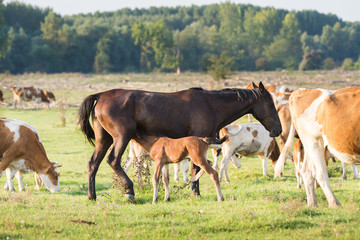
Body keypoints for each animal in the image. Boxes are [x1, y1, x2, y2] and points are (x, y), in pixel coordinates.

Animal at [78, 82, 282, 201]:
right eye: (271, 105)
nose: (278, 130)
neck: (210, 105)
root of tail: (100, 95)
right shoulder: (197, 143)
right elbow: (196, 168)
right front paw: (196, 193)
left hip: (103, 140)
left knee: (93, 164)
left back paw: (92, 196)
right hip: (122, 137)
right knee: (113, 160)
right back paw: (129, 191)